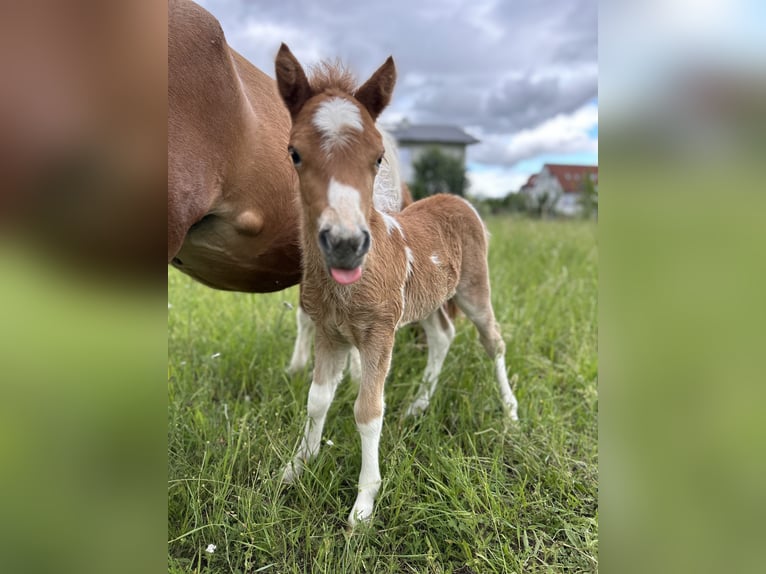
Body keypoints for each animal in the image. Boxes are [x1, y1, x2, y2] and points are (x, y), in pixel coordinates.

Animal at [272, 45, 520, 528]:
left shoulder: (379, 333)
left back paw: (511, 415)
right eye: (294, 153)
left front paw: (364, 504)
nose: (346, 244)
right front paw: (295, 467)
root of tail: (458, 199)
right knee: (443, 336)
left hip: (473, 289)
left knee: (493, 341)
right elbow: (317, 399)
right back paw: (418, 406)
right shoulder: (330, 334)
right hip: (429, 299)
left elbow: (367, 411)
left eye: (378, 157)